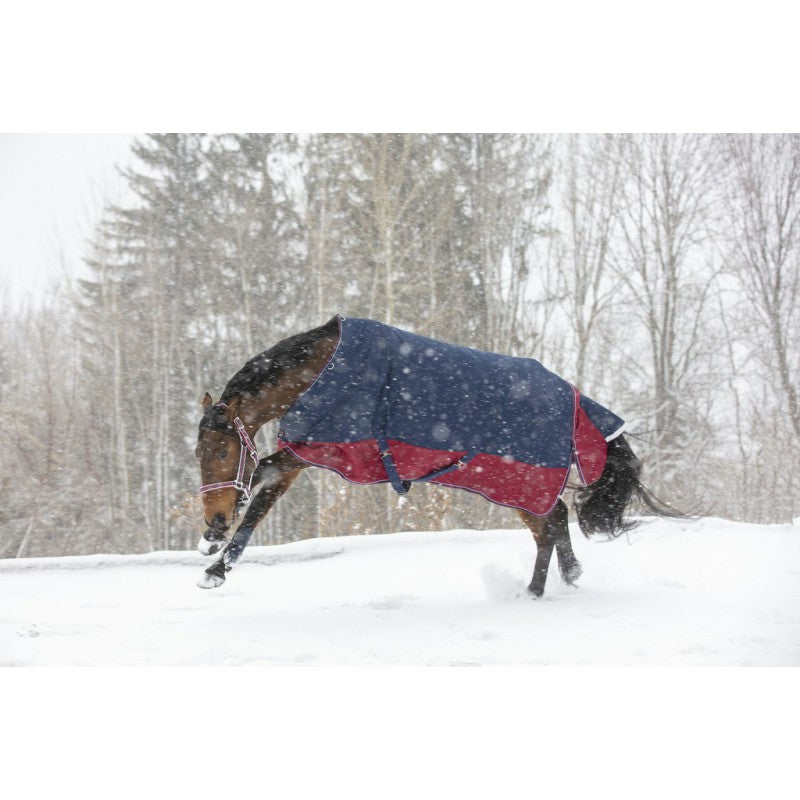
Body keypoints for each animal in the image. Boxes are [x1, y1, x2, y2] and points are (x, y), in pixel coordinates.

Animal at [195, 315, 673, 596]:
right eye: (198, 451)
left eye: (220, 448)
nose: (214, 517)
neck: (325, 372)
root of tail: (574, 397)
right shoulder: (304, 455)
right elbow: (260, 499)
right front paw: (215, 554)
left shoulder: (320, 449)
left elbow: (261, 476)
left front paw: (217, 556)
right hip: (508, 483)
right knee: (552, 523)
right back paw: (565, 578)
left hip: (518, 481)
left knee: (552, 522)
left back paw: (536, 592)